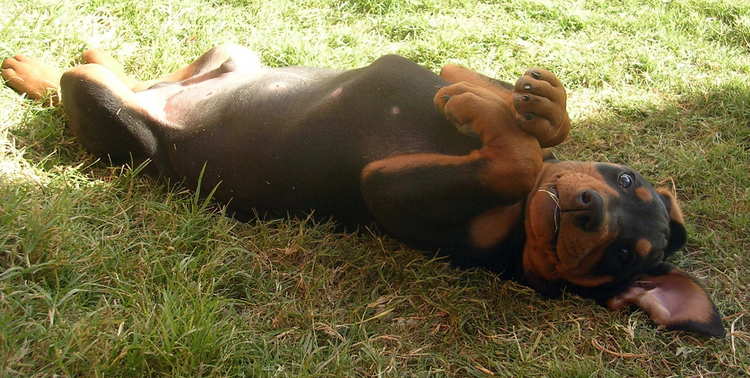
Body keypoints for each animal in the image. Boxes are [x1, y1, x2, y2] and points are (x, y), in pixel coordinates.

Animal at [1, 43, 728, 336]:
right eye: (626, 180)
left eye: (622, 258)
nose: (587, 211)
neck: (516, 224)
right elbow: (516, 117)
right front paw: (535, 105)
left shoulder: (384, 188)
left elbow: (519, 162)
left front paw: (505, 121)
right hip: (231, 54)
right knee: (162, 73)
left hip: (124, 126)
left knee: (87, 91)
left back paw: (51, 68)